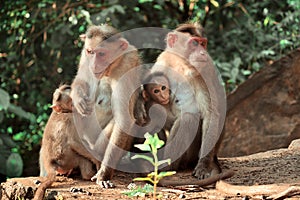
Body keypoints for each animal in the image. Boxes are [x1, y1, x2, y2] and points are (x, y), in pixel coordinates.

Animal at [69, 24, 142, 188]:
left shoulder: (127, 64)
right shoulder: (84, 57)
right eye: (90, 52)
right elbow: (81, 80)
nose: (94, 64)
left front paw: (104, 174)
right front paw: (78, 98)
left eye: (102, 54)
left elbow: (124, 120)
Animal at [149, 21, 226, 180]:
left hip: (190, 155)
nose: (203, 53)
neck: (180, 65)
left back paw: (167, 166)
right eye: (194, 43)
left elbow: (210, 114)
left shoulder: (203, 71)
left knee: (189, 118)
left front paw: (203, 166)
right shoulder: (162, 62)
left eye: (203, 44)